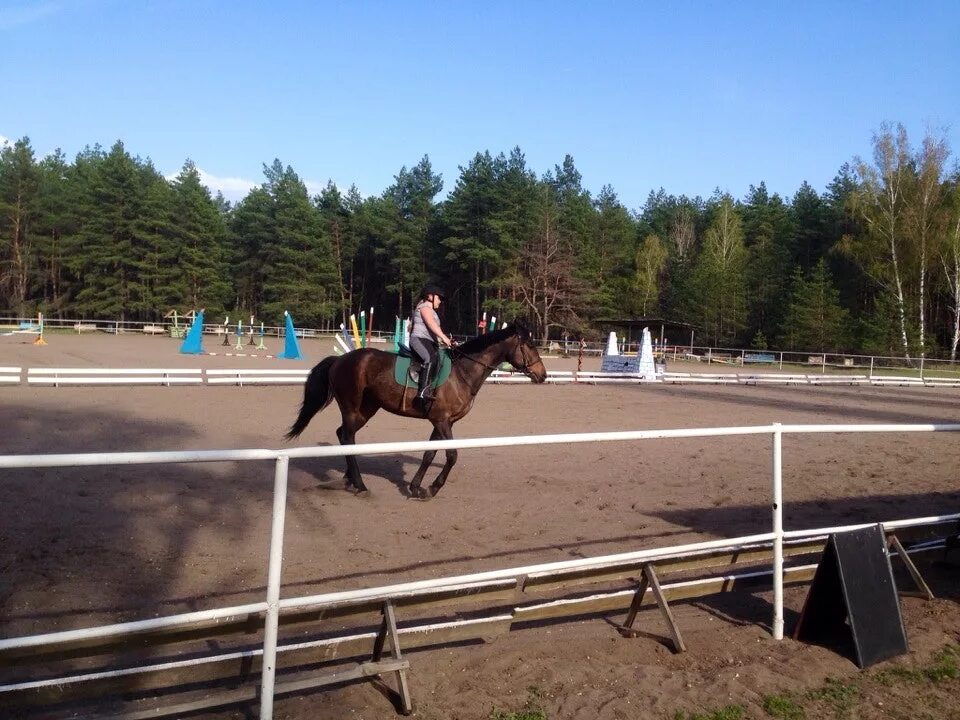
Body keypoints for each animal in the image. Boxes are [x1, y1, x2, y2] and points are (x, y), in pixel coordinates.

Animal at [284, 324, 548, 498]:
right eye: (529, 345)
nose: (543, 375)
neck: (462, 372)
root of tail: (340, 360)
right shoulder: (441, 420)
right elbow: (452, 455)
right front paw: (432, 487)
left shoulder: (443, 422)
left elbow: (429, 454)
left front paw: (415, 486)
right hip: (351, 407)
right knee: (347, 437)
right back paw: (359, 484)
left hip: (366, 409)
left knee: (344, 436)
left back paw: (350, 479)